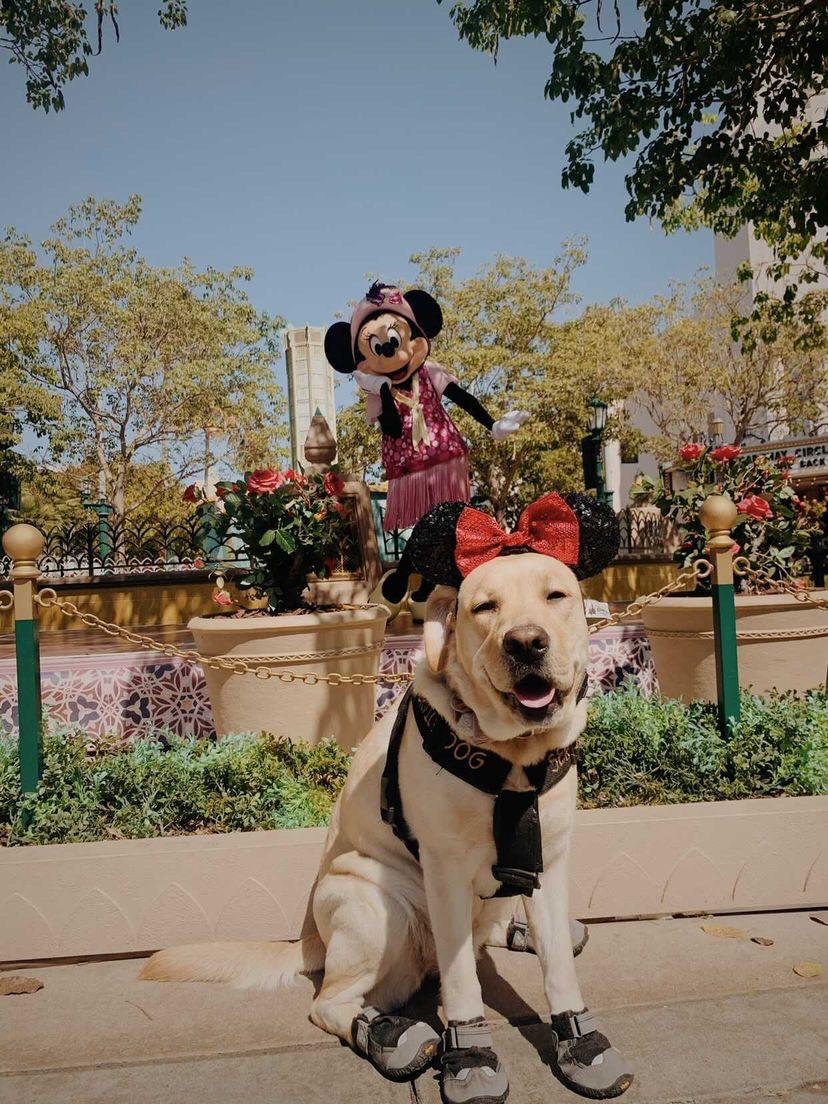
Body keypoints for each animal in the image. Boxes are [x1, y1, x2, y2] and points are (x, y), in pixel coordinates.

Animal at [144, 496, 635, 1099]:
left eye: (556, 596)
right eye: (484, 607)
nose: (525, 643)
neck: (513, 758)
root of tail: (312, 940)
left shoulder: (551, 859)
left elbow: (559, 968)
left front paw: (579, 1042)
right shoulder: (445, 871)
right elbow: (461, 983)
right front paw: (471, 1055)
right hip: (380, 910)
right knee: (332, 1002)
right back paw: (386, 1035)